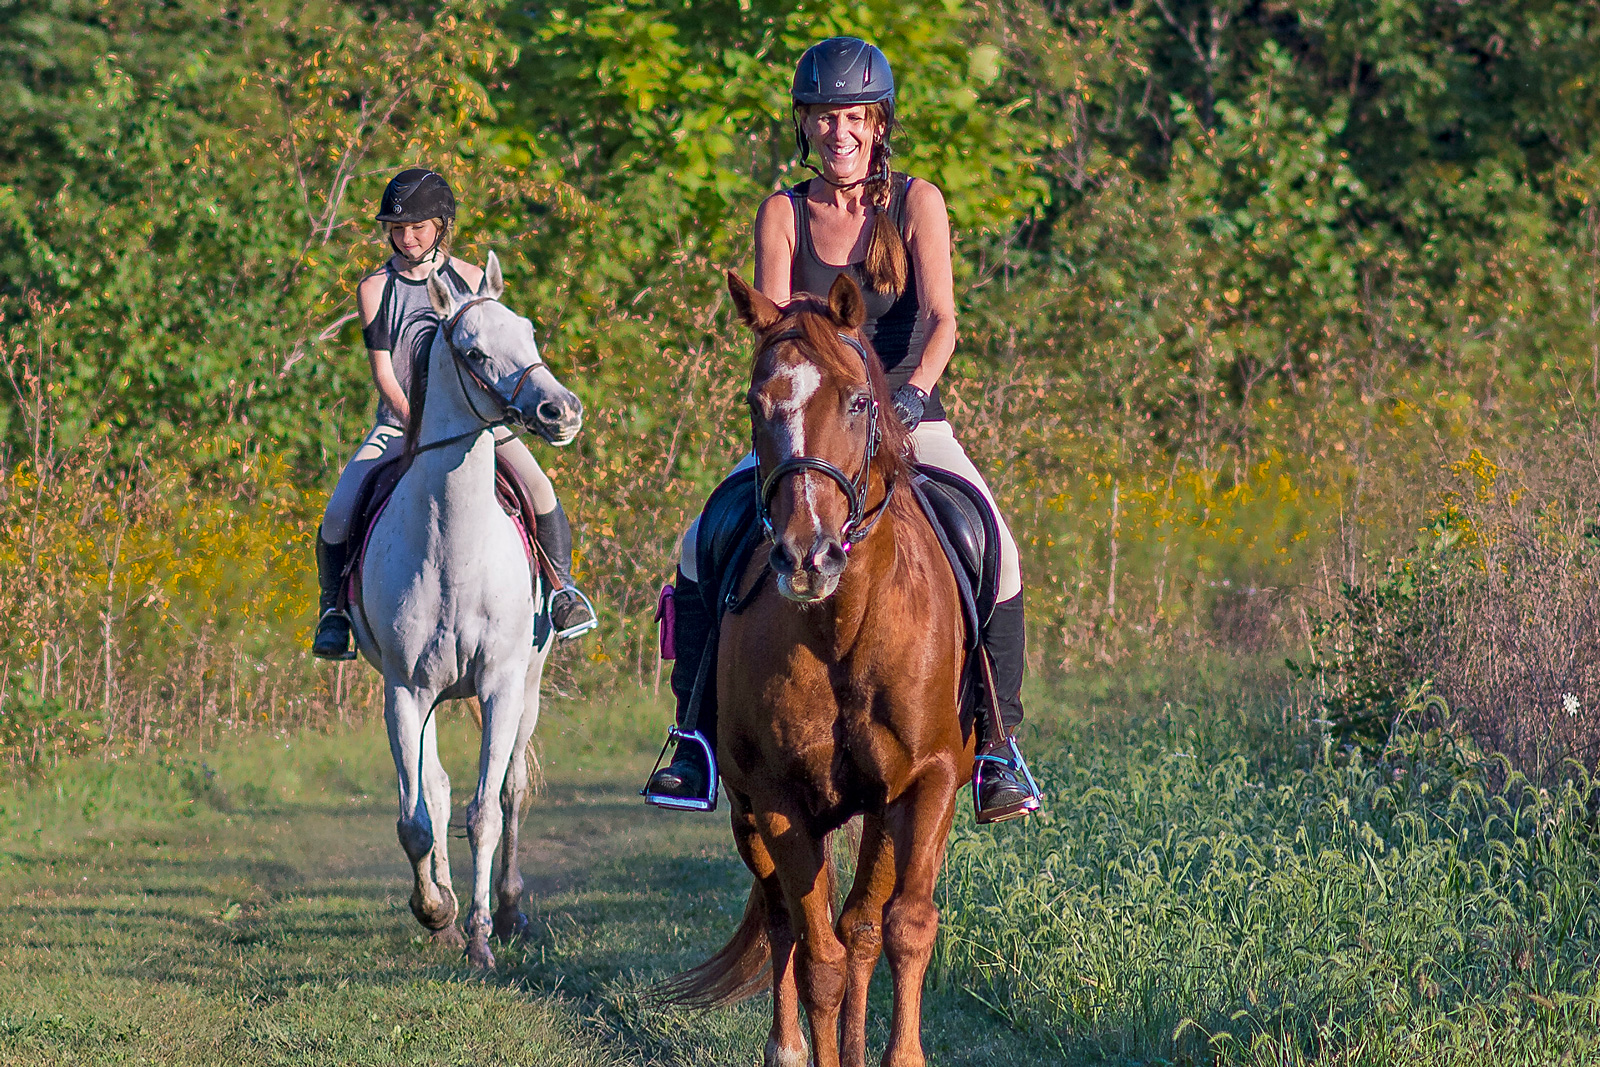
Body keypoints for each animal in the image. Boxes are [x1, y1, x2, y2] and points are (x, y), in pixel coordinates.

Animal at [347, 254, 585, 972]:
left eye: (529, 333)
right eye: (474, 350)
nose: (561, 410)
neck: (455, 545)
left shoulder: (501, 683)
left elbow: (486, 811)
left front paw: (482, 937)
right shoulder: (404, 690)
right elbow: (416, 818)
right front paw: (437, 911)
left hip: (529, 686)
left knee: (508, 790)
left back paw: (508, 912)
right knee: (438, 788)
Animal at [656, 273, 966, 1067]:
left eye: (858, 401)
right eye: (755, 403)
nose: (807, 555)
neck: (841, 625)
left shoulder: (924, 783)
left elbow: (903, 926)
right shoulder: (776, 798)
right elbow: (815, 954)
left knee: (860, 927)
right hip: (748, 809)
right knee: (785, 923)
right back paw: (789, 1047)